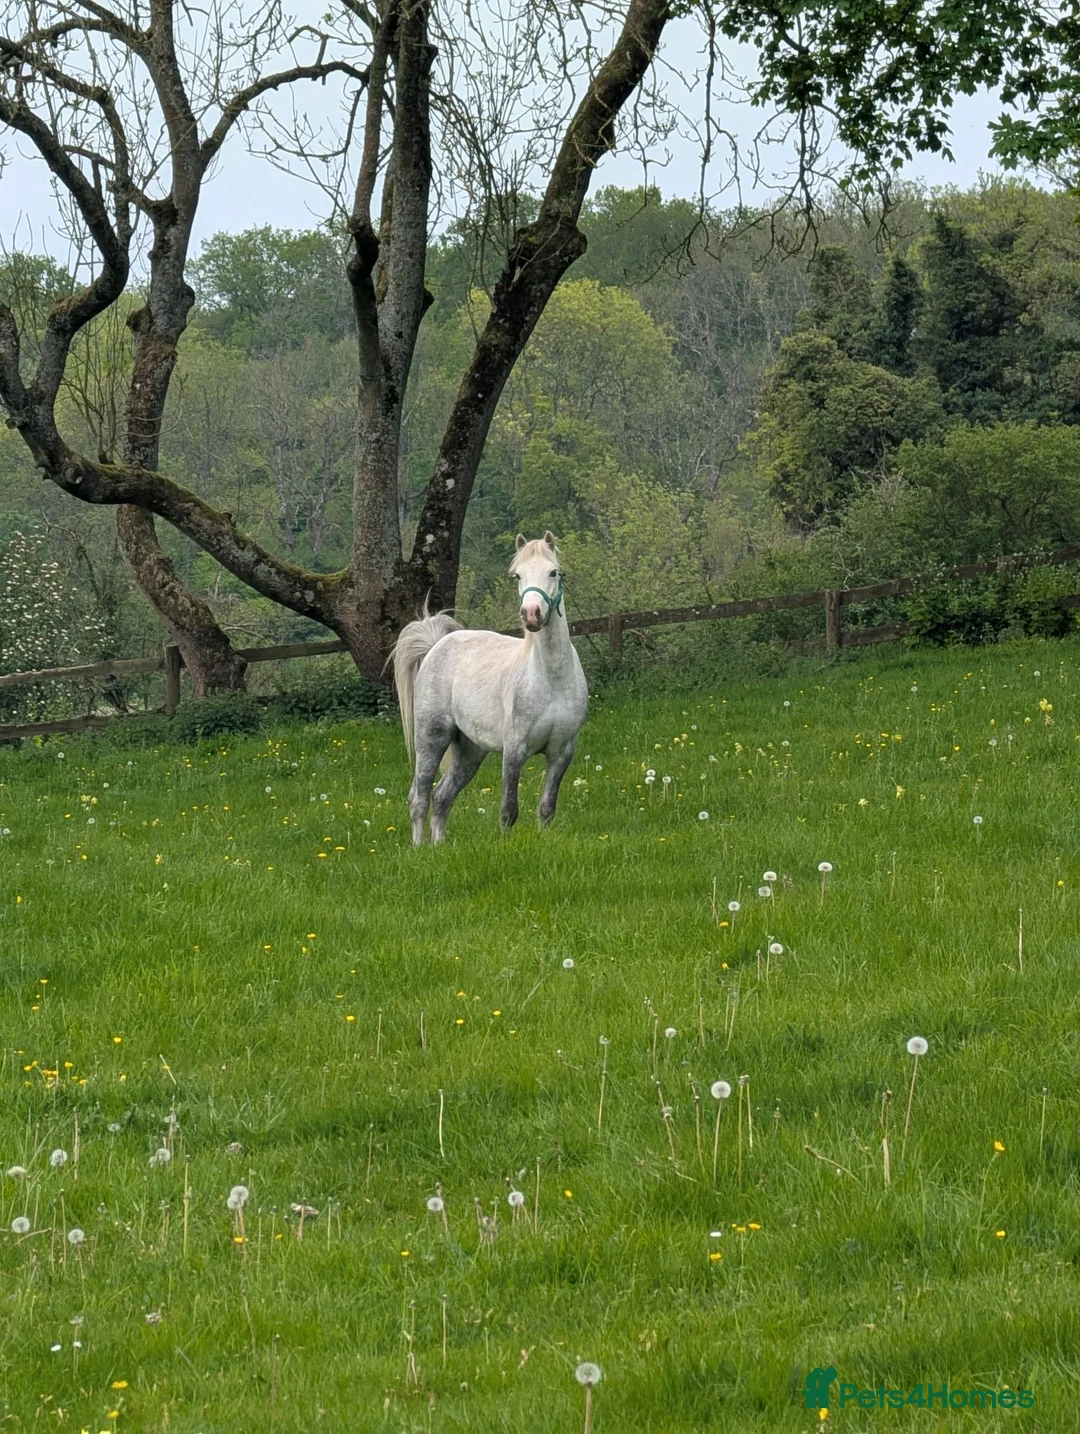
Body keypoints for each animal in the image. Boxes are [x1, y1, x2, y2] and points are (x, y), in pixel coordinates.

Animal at [391, 531, 589, 845]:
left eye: (553, 572)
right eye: (517, 575)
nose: (531, 614)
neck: (551, 680)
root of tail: (436, 645)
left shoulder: (562, 752)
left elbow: (547, 807)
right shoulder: (514, 750)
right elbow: (508, 809)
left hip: (470, 750)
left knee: (442, 796)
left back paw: (439, 847)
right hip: (431, 737)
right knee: (419, 797)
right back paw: (420, 848)